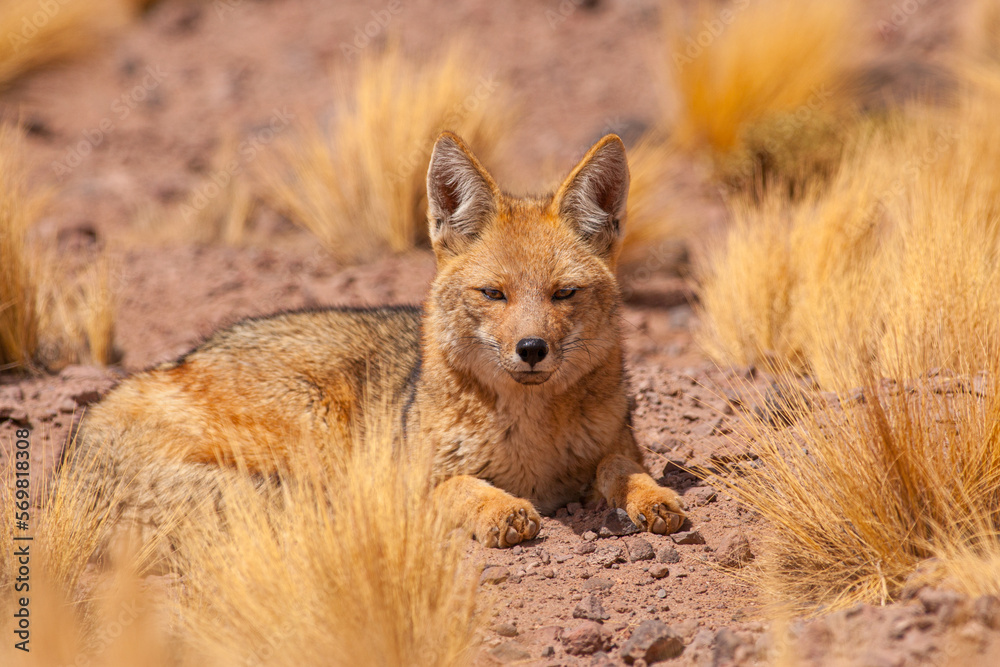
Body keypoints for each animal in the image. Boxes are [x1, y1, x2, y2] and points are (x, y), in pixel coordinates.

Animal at [65, 131, 686, 550]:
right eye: (494, 294)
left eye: (563, 294)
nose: (531, 349)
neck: (531, 436)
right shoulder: (409, 480)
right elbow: (461, 486)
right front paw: (500, 510)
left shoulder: (616, 446)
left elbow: (623, 470)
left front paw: (655, 498)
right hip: (318, 433)